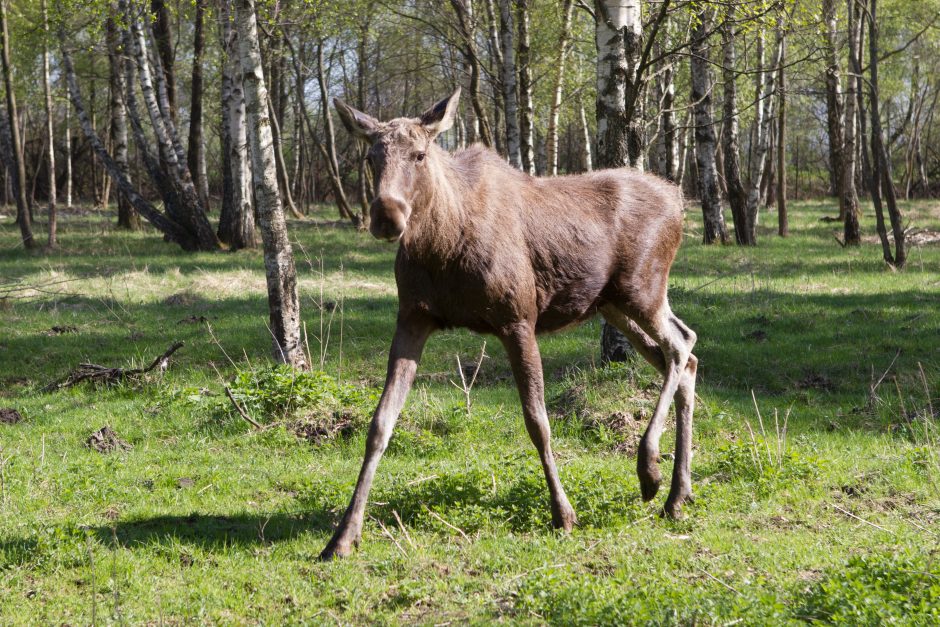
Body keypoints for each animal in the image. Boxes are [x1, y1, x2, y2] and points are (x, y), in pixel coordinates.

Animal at [324, 87, 696, 560]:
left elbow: (538, 421)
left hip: (642, 288)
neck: (442, 247)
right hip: (611, 304)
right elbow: (380, 424)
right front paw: (343, 535)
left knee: (680, 345)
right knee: (684, 355)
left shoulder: (518, 317)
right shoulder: (413, 318)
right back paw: (677, 495)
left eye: (420, 154)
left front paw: (563, 513)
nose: (387, 215)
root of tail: (679, 202)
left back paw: (650, 471)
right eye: (371, 157)